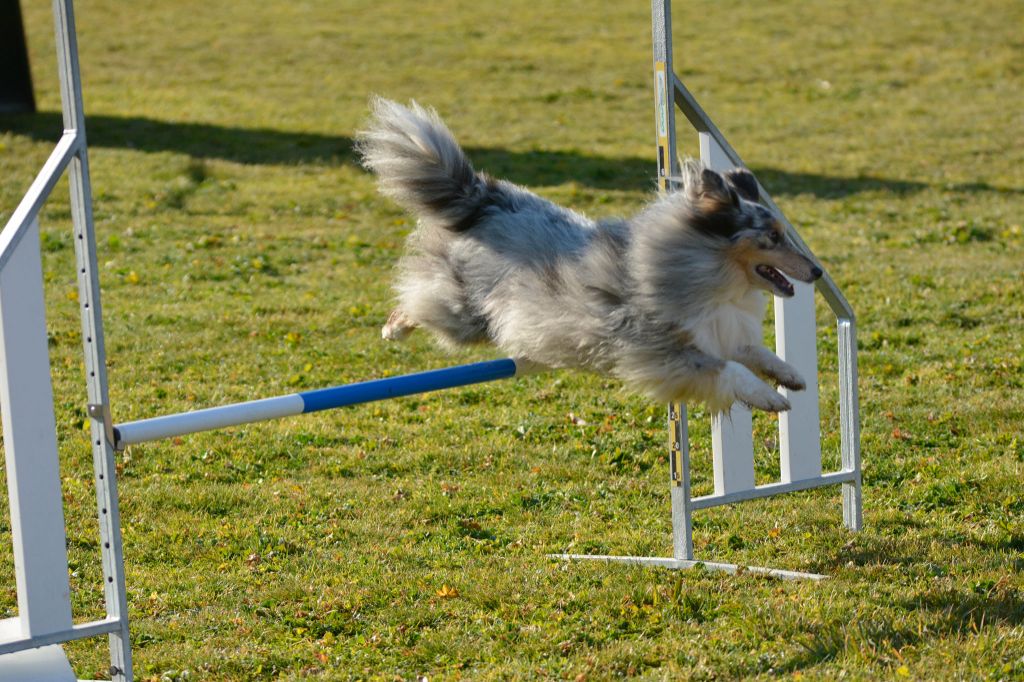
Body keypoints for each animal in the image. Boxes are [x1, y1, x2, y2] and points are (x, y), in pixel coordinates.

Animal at [356, 98, 819, 411]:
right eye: (773, 236)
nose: (816, 271)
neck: (707, 268)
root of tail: (483, 197)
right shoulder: (659, 351)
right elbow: (728, 369)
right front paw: (768, 397)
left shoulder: (719, 329)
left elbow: (753, 351)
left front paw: (790, 375)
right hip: (463, 314)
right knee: (418, 299)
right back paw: (394, 328)